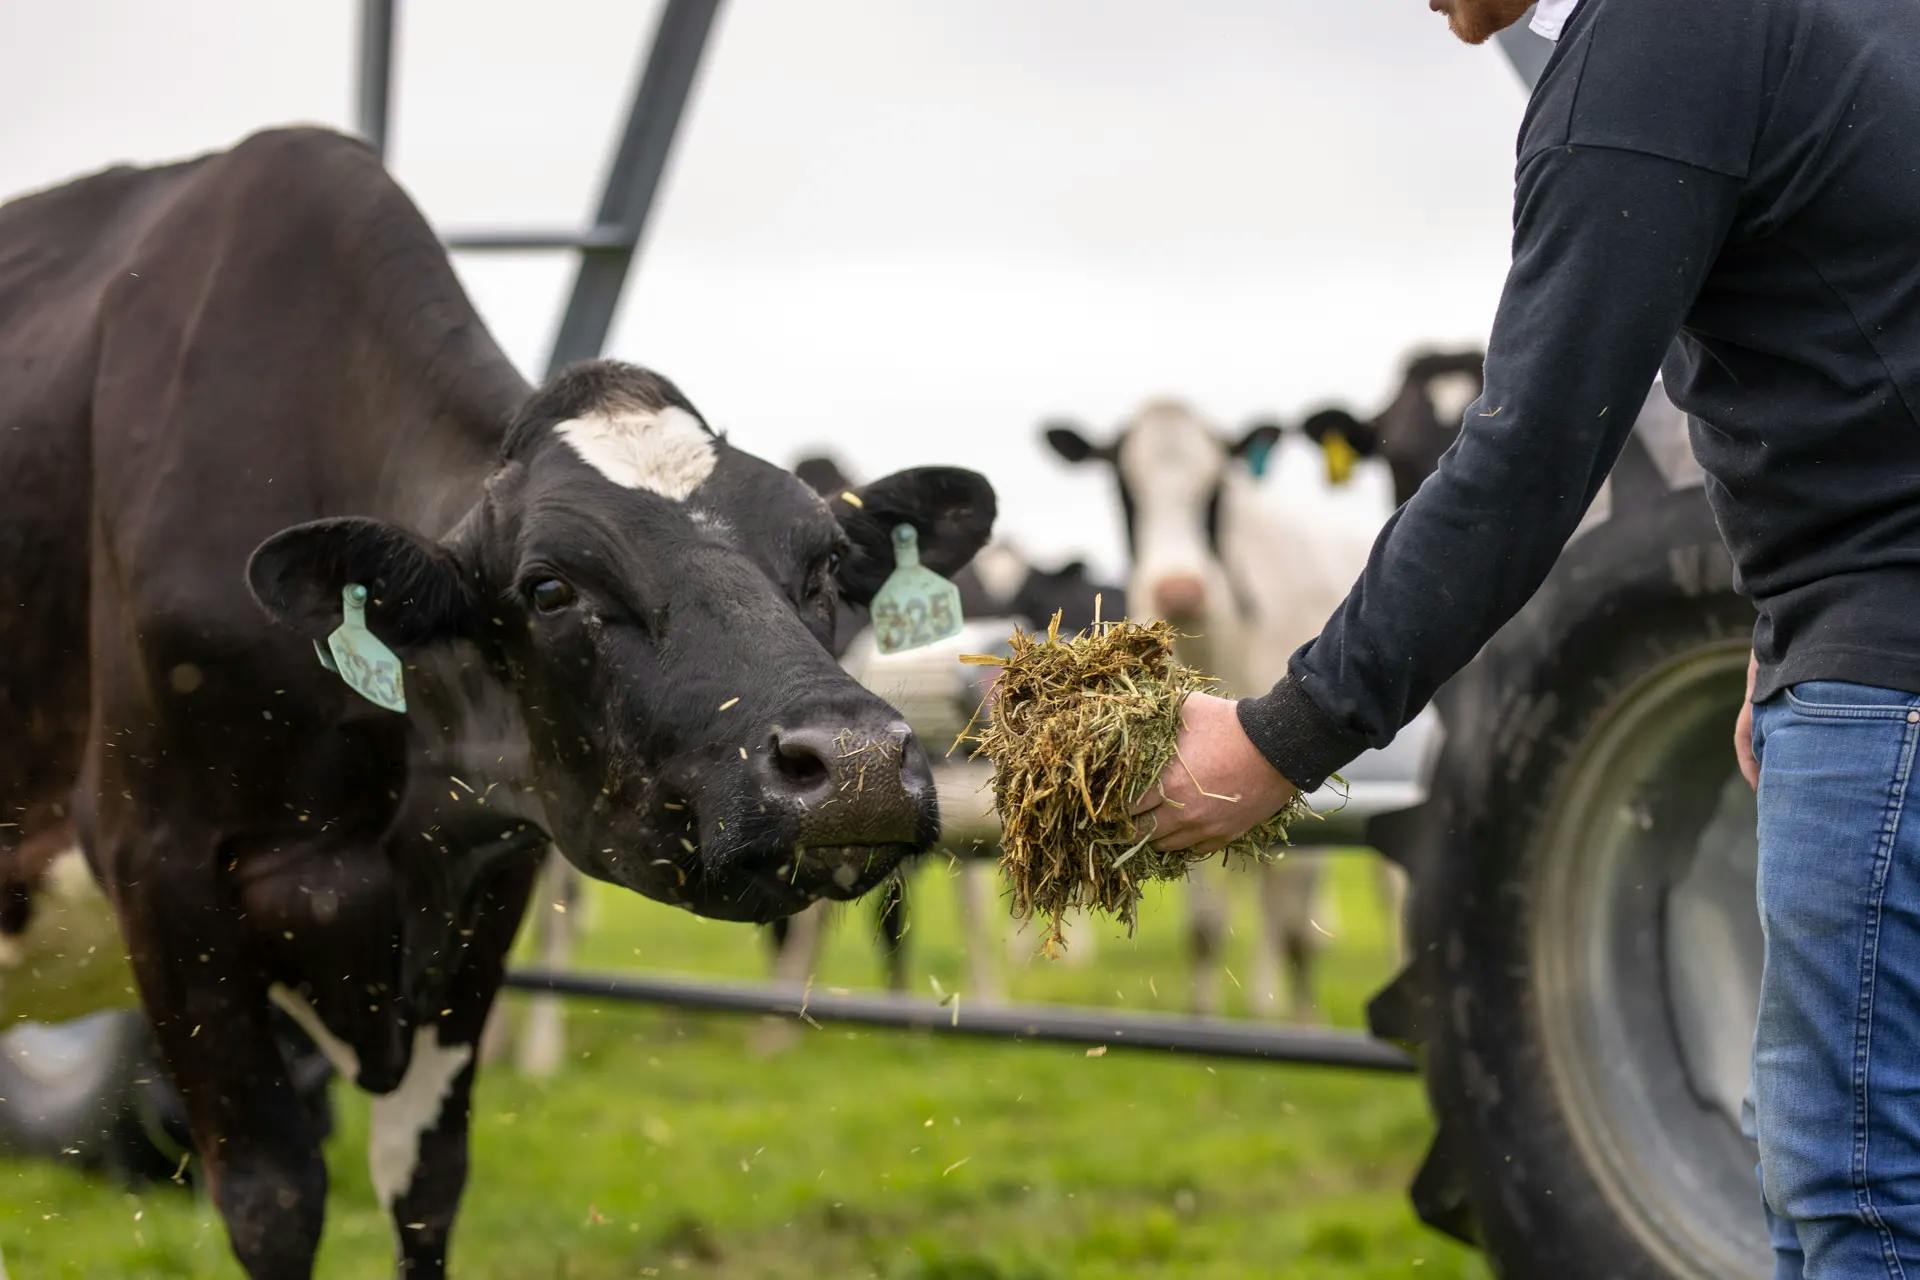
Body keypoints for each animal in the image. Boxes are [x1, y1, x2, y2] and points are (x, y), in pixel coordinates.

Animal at [0, 132, 990, 1280]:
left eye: (827, 564)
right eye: (549, 588)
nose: (858, 764)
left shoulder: (481, 882)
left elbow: (427, 1187)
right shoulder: (160, 871)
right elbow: (272, 1201)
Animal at [1044, 401, 1390, 1020]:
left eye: (1214, 491)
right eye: (1124, 487)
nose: (1181, 589)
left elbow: (1298, 931)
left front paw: (1304, 1022)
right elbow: (1206, 927)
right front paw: (1202, 1015)